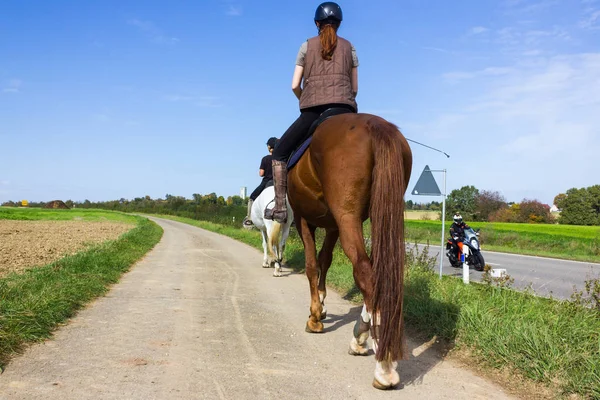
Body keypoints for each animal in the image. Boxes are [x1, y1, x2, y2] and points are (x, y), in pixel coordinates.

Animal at [288, 112, 412, 390]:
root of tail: (376, 125)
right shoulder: (332, 225)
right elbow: (325, 260)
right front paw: (322, 304)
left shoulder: (304, 220)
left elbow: (312, 265)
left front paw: (315, 316)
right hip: (381, 214)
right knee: (380, 275)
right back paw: (363, 337)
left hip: (348, 218)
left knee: (366, 273)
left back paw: (384, 366)